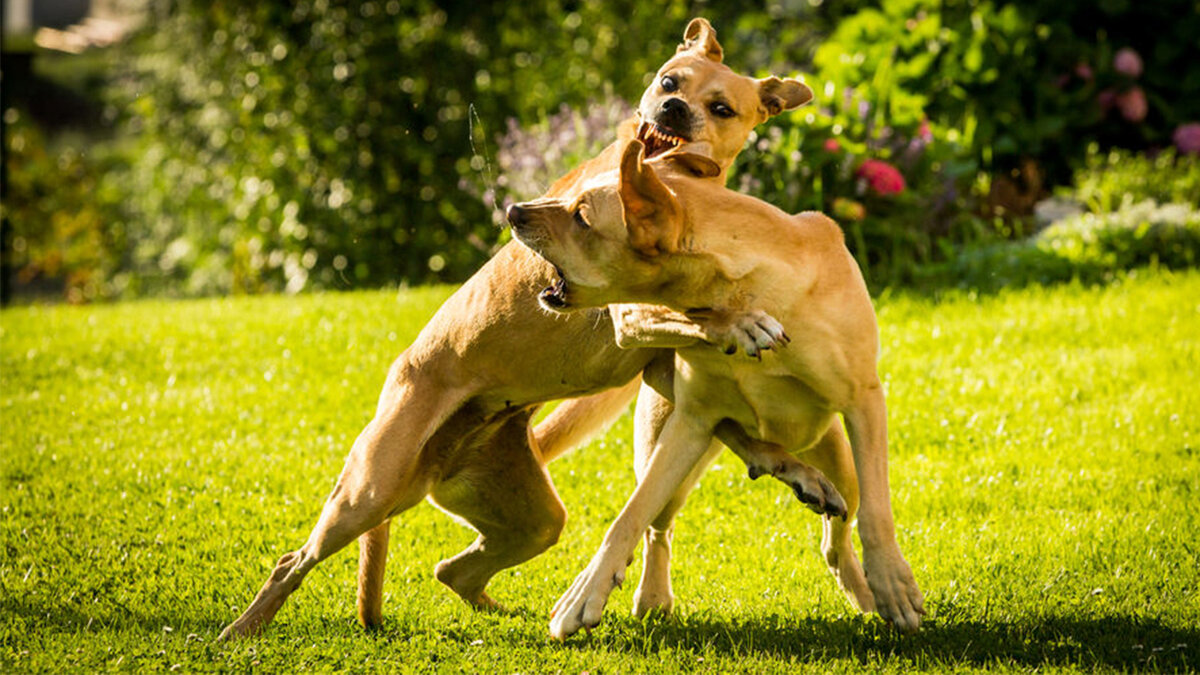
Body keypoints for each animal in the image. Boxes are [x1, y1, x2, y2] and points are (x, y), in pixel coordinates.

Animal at [219, 17, 816, 634]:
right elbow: (699, 317)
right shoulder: (628, 315)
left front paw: (796, 471)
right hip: (368, 491)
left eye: (720, 107)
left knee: (452, 570)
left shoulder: (656, 369)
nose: (673, 109)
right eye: (669, 80)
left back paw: (504, 616)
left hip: (529, 517)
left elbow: (737, 428)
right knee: (293, 561)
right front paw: (744, 324)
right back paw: (241, 631)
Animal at [506, 141, 926, 634]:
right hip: (665, 434)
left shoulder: (865, 401)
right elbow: (630, 515)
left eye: (582, 217)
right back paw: (656, 591)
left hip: (839, 458)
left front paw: (893, 584)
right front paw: (585, 593)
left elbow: (877, 511)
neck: (749, 285)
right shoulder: (691, 421)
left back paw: (861, 585)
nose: (513, 211)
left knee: (838, 531)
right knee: (661, 522)